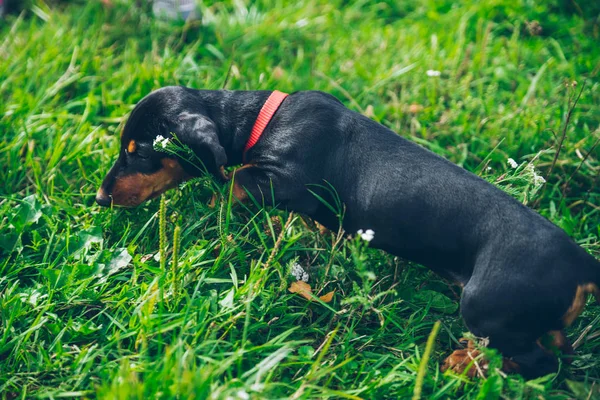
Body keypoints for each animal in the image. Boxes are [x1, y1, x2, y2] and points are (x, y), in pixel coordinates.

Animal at [96, 86, 596, 378]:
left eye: (139, 152)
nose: (100, 199)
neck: (260, 119)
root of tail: (582, 266)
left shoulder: (287, 178)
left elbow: (236, 179)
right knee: (556, 345)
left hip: (485, 308)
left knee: (537, 362)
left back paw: (464, 364)